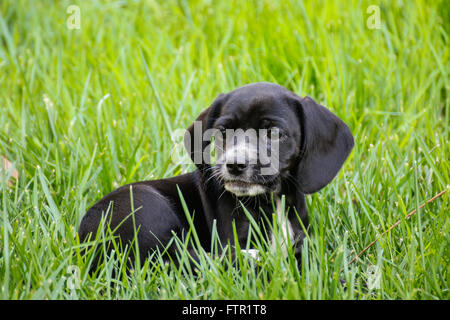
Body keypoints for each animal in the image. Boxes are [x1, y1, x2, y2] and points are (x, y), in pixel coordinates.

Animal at [78, 82, 356, 268]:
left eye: (274, 133)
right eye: (223, 131)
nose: (235, 164)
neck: (271, 202)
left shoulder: (302, 239)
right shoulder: (231, 240)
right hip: (147, 205)